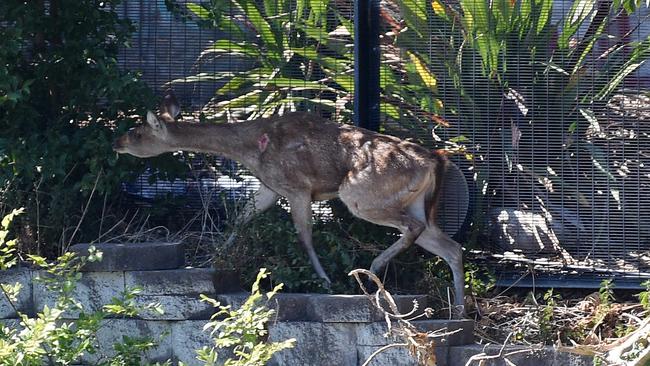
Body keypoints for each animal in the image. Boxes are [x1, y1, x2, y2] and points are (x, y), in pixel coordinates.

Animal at [112, 93, 466, 314]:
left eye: (138, 132)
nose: (117, 143)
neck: (247, 149)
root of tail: (435, 162)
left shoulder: (297, 187)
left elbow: (304, 236)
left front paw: (325, 281)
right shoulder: (270, 187)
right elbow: (242, 217)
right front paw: (211, 257)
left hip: (361, 196)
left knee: (414, 228)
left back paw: (372, 271)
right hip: (416, 204)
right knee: (451, 246)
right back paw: (459, 309)